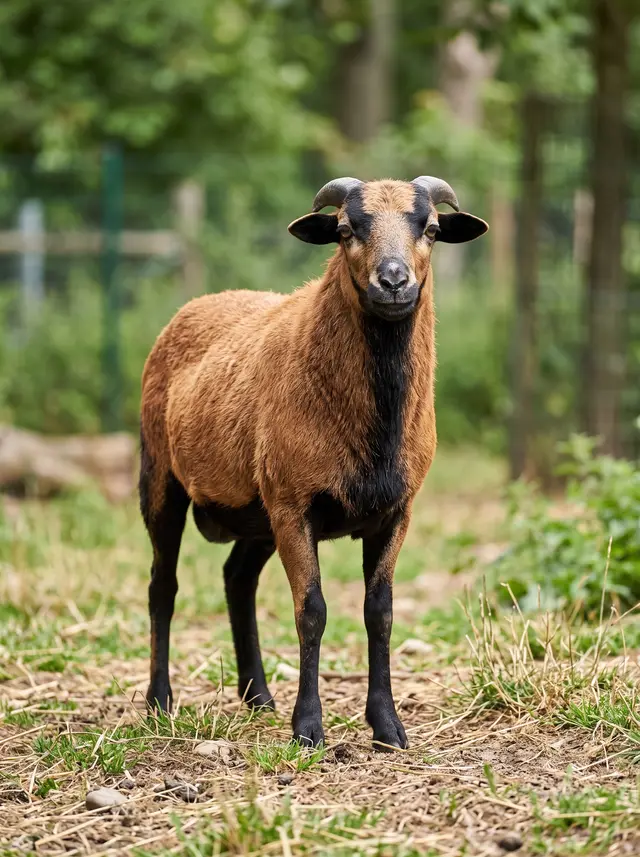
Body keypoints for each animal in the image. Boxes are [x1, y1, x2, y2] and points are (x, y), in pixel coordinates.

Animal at [139, 176, 488, 749]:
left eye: (433, 229)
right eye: (345, 230)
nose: (394, 281)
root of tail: (200, 302)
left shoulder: (396, 511)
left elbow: (380, 611)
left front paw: (388, 727)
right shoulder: (294, 504)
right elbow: (312, 611)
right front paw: (308, 729)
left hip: (256, 514)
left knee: (237, 579)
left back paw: (258, 696)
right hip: (163, 479)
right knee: (162, 586)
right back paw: (159, 702)